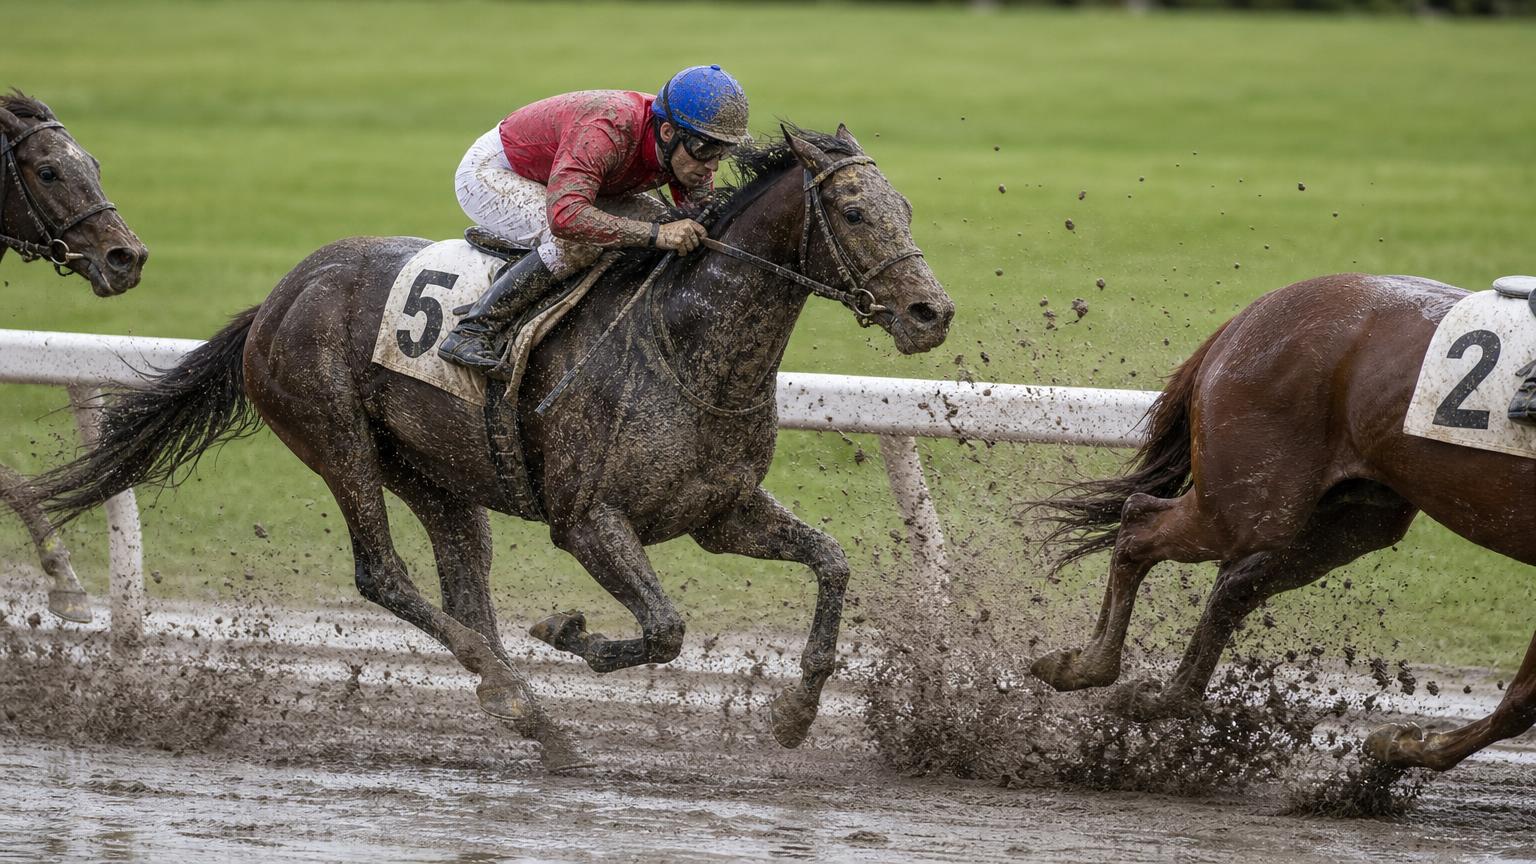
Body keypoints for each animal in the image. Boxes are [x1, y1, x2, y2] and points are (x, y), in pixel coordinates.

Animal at [36, 125, 954, 769]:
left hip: (437, 473)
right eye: (855, 212)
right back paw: (512, 695)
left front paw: (796, 714)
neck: (686, 343)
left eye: (908, 208)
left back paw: (532, 719)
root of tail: (277, 297)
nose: (930, 313)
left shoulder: (719, 512)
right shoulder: (587, 519)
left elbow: (832, 562)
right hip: (336, 439)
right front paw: (568, 629)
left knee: (464, 580)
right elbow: (664, 628)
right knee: (385, 576)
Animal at [1027, 273, 1535, 772]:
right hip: (1247, 507)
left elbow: (1521, 704)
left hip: (1348, 519)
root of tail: (1259, 307)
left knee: (1232, 586)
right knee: (1138, 523)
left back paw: (1166, 698)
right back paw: (1086, 666)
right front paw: (1398, 747)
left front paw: (1399, 746)